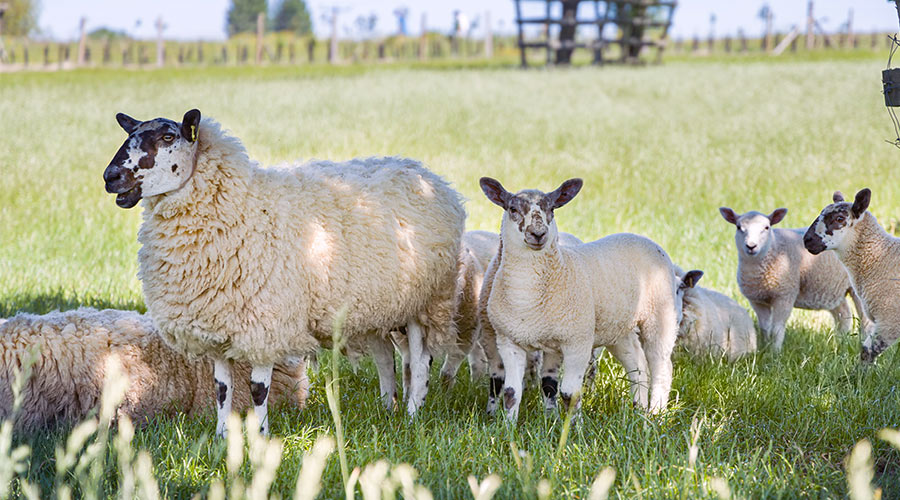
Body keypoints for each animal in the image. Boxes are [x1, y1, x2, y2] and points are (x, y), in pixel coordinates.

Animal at [102, 110, 465, 436]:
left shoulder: (266, 324)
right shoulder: (217, 326)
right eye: (129, 134)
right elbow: (222, 388)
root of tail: (425, 174)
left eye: (168, 137)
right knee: (385, 358)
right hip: (377, 304)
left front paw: (260, 436)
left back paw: (413, 412)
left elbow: (257, 388)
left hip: (426, 299)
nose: (110, 177)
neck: (239, 206)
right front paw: (221, 437)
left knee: (420, 359)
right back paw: (387, 408)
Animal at [479, 177, 681, 421]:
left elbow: (569, 393)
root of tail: (644, 238)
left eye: (552, 209)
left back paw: (656, 413)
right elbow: (511, 392)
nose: (538, 234)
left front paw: (573, 426)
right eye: (513, 209)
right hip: (618, 327)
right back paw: (638, 410)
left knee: (662, 367)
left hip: (661, 315)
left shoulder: (577, 341)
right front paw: (508, 426)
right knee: (638, 364)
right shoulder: (509, 340)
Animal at [719, 206, 870, 352]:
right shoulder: (757, 300)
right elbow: (765, 328)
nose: (751, 246)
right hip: (832, 288)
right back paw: (840, 342)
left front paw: (775, 353)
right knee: (843, 315)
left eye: (767, 227)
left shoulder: (785, 295)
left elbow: (776, 329)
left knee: (865, 321)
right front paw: (765, 348)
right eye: (739, 227)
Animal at [804, 189, 900, 362]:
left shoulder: (889, 318)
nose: (807, 240)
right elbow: (865, 351)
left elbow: (868, 352)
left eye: (839, 218)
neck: (881, 257)